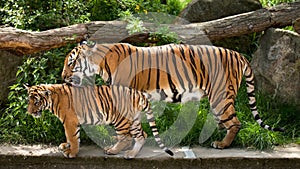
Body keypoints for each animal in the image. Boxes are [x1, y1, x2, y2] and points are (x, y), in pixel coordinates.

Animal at [24, 84, 172, 159]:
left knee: (126, 137)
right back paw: (131, 153)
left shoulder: (70, 121)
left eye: (36, 102)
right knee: (142, 135)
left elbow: (72, 137)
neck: (52, 101)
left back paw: (114, 151)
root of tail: (139, 93)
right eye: (29, 101)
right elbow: (72, 137)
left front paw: (71, 153)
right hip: (134, 120)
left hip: (120, 119)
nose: (29, 112)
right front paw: (66, 146)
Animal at [61, 42, 284, 149]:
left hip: (220, 96)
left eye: (71, 63)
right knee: (226, 120)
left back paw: (222, 144)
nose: (62, 76)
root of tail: (238, 54)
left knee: (236, 122)